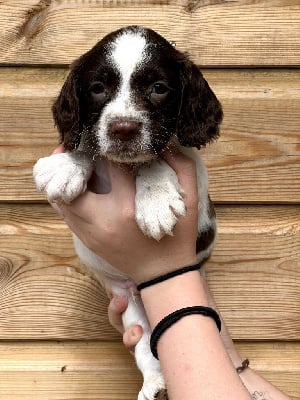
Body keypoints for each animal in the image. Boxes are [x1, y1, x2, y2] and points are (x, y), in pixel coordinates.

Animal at [33, 25, 223, 400]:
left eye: (159, 88)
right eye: (97, 88)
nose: (123, 128)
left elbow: (155, 156)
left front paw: (156, 198)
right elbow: (89, 144)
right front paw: (66, 166)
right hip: (129, 306)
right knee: (145, 346)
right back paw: (155, 384)